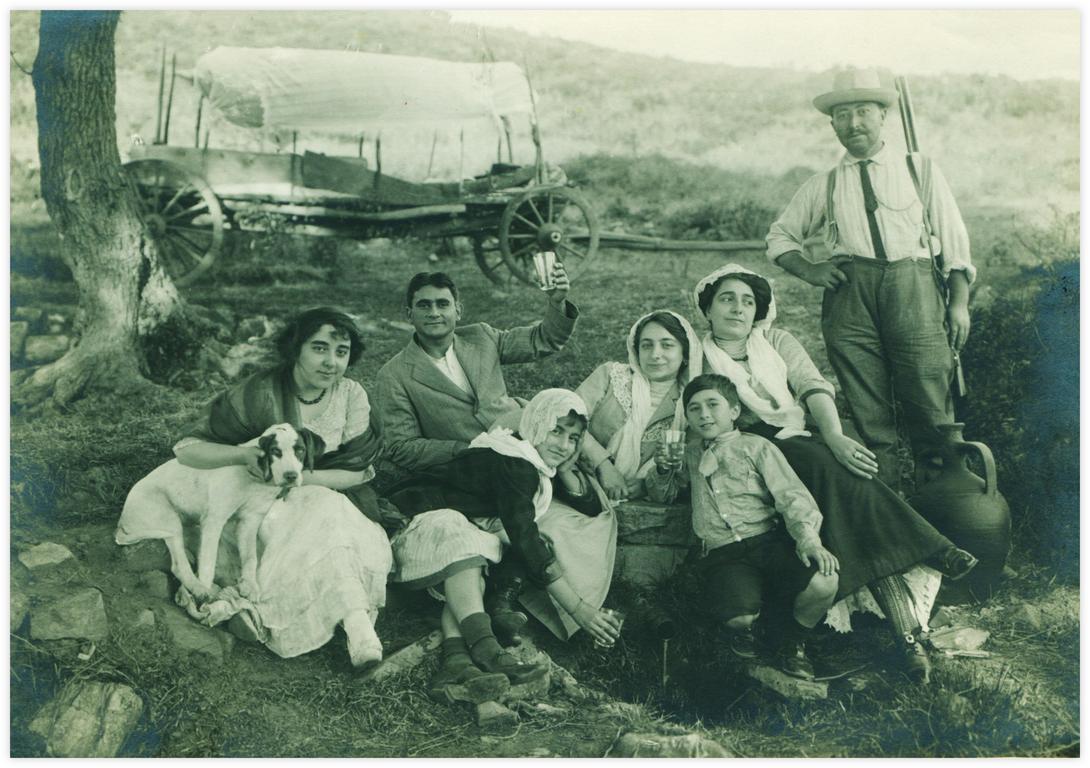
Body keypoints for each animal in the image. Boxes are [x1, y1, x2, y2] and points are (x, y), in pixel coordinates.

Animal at [115, 422, 320, 601]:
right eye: (275, 452)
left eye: (300, 450)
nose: (291, 476)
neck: (255, 481)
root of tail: (122, 521)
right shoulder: (214, 520)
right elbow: (208, 562)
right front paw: (205, 597)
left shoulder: (250, 521)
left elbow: (250, 557)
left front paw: (250, 585)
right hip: (167, 517)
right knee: (179, 565)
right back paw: (199, 589)